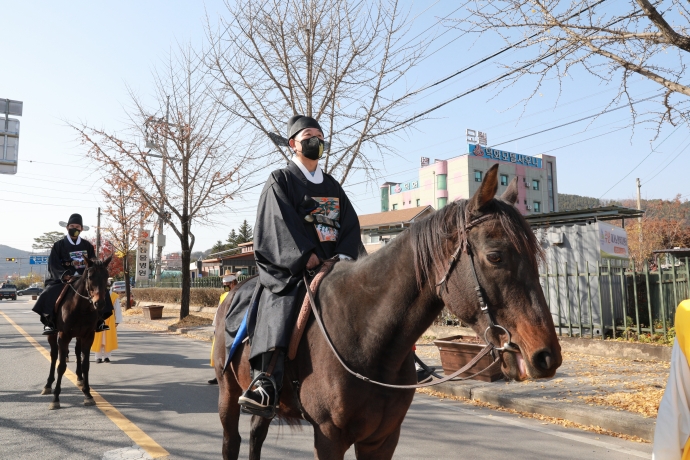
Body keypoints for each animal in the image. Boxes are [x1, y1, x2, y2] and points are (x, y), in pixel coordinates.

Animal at [40, 255, 111, 410]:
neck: (81, 307)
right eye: (90, 276)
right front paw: (56, 398)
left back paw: (79, 378)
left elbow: (85, 365)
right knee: (54, 356)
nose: (100, 303)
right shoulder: (63, 336)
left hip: (79, 336)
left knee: (78, 352)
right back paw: (48, 385)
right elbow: (61, 366)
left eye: (106, 276)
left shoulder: (88, 335)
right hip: (53, 335)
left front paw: (88, 394)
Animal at [214, 164, 560, 456]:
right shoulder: (329, 437)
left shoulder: (382, 438)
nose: (547, 355)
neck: (367, 337)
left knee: (256, 435)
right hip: (228, 391)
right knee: (232, 440)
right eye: (495, 256)